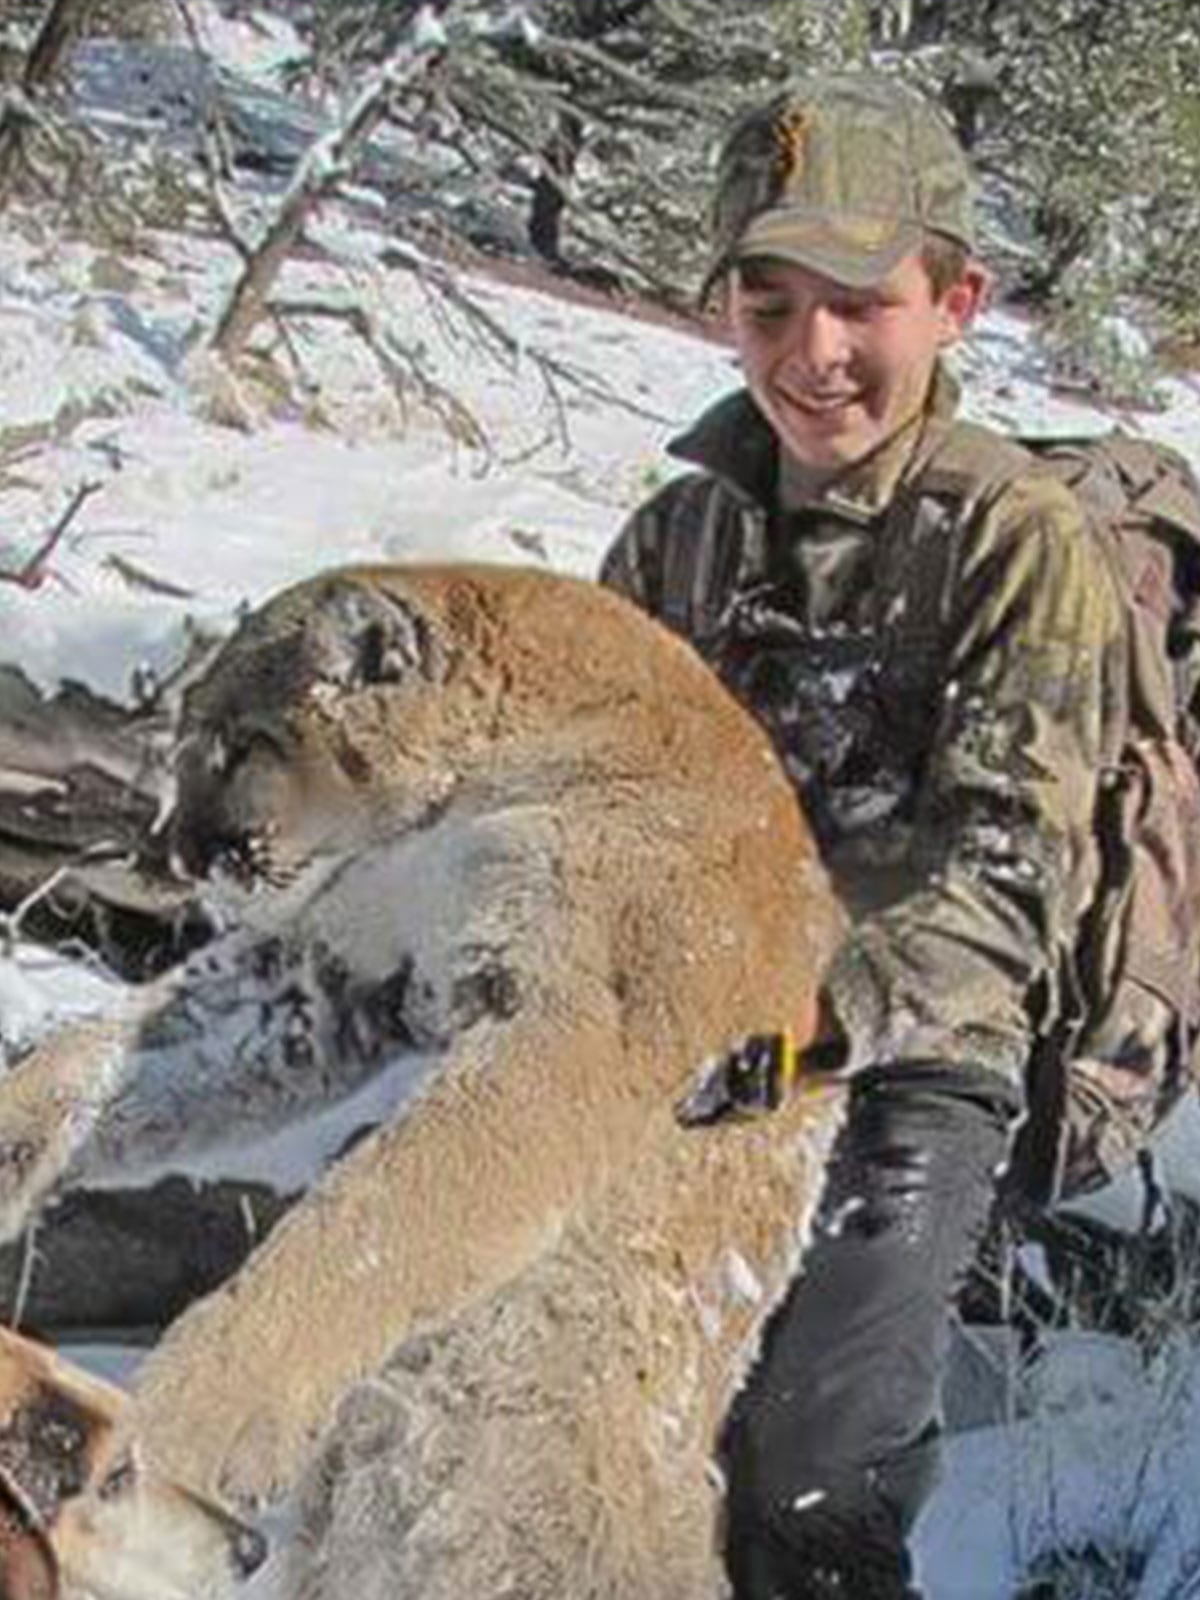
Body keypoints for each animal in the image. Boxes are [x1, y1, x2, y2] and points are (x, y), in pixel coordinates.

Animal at [0, 564, 844, 1597]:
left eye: (244, 743)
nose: (176, 853)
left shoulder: (566, 1032)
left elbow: (374, 1219)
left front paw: (186, 1416)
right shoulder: (336, 971)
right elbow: (134, 1045)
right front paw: (13, 1145)